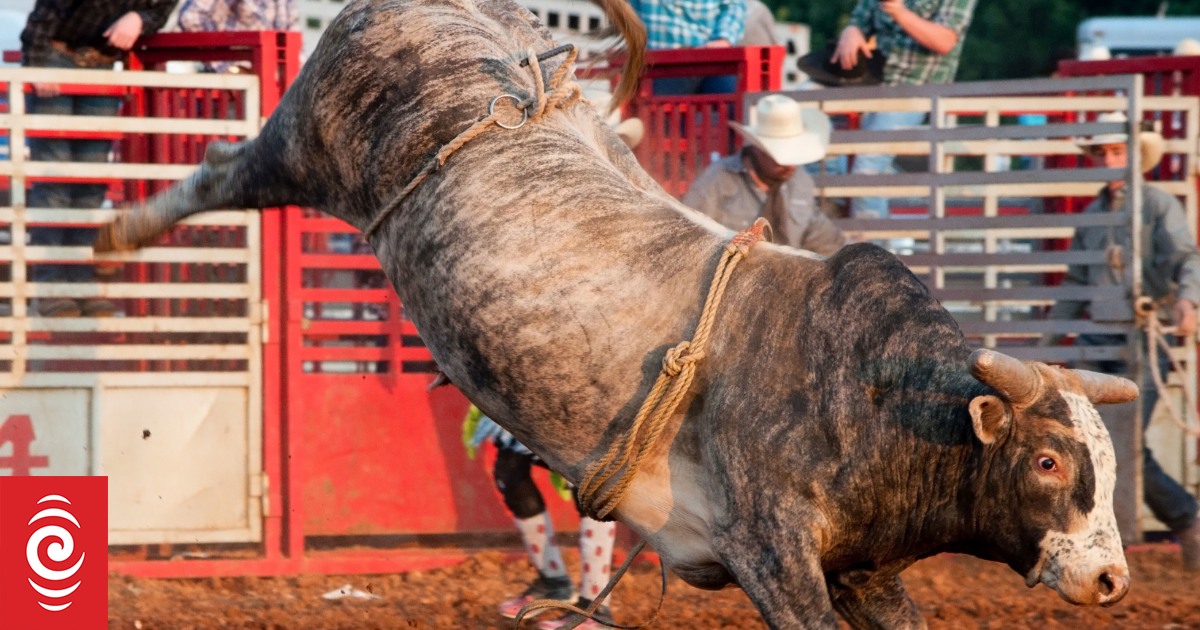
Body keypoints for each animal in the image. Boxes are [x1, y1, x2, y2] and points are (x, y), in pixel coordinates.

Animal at [98, 2, 1137, 624]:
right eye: (1048, 460)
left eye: (1107, 459)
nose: (1111, 577)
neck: (876, 399)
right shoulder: (773, 554)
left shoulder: (869, 571)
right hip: (305, 142)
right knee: (223, 170)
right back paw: (117, 229)